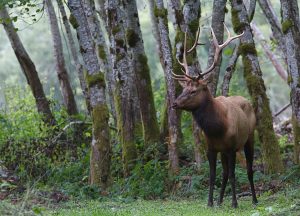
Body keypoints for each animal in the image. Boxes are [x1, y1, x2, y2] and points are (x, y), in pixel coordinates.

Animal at [172, 23, 258, 208]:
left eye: (193, 91)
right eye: (183, 89)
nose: (174, 103)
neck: (218, 128)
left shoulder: (232, 148)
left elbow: (233, 174)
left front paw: (234, 203)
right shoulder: (211, 149)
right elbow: (212, 176)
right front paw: (210, 202)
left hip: (249, 138)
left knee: (249, 169)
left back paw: (254, 199)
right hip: (224, 151)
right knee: (224, 172)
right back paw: (219, 201)